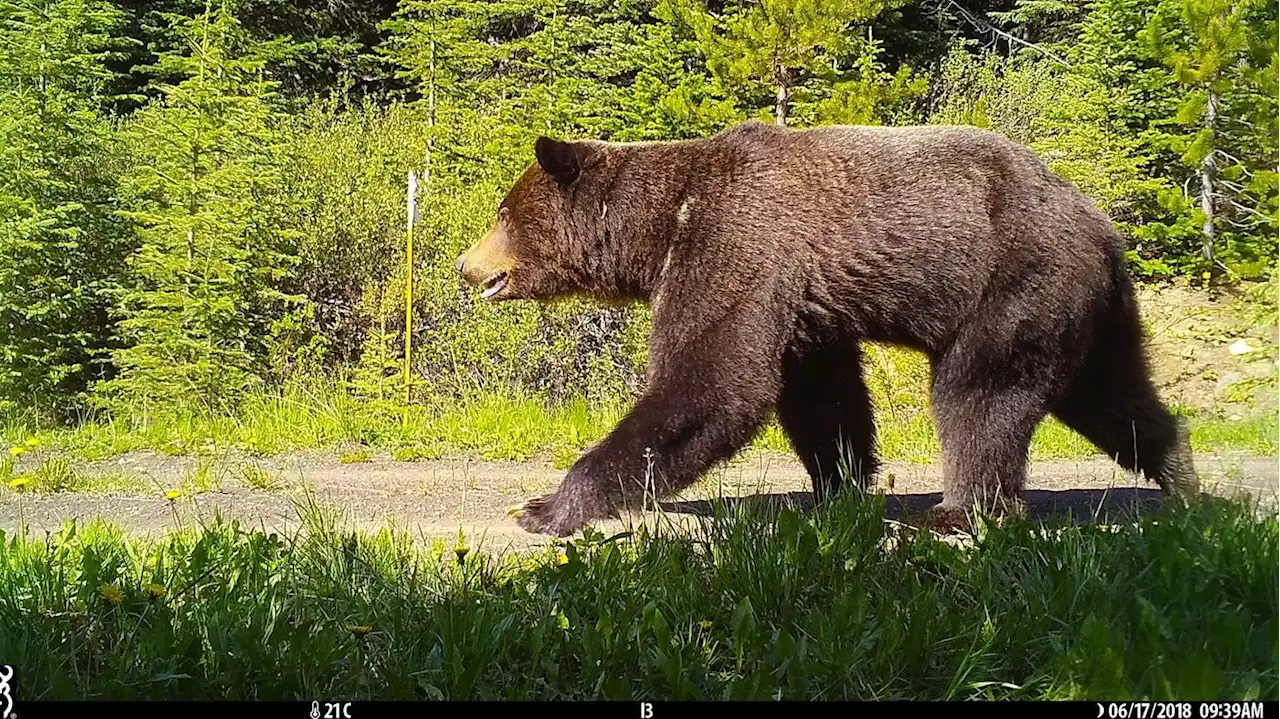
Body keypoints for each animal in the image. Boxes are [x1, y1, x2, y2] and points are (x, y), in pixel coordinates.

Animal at [453, 118, 1198, 532]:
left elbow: (711, 384)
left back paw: (957, 510)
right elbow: (820, 395)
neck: (663, 223)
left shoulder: (735, 245)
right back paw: (1182, 479)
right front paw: (840, 486)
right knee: (1113, 395)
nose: (464, 264)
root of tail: (1102, 227)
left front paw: (544, 507)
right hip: (1085, 309)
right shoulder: (803, 299)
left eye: (502, 213)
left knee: (979, 395)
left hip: (1014, 285)